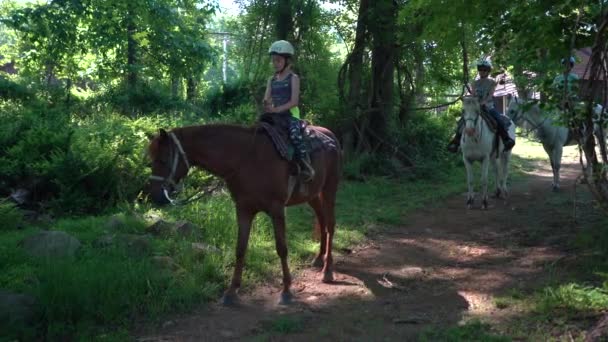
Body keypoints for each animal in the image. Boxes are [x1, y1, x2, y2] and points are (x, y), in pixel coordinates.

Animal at [144, 123, 340, 304]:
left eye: (163, 160)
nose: (155, 196)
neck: (247, 160)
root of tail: (330, 135)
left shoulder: (277, 210)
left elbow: (282, 249)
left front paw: (286, 290)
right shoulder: (243, 210)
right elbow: (240, 249)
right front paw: (231, 291)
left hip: (329, 188)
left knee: (330, 225)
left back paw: (327, 270)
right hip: (312, 195)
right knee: (322, 220)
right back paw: (319, 259)